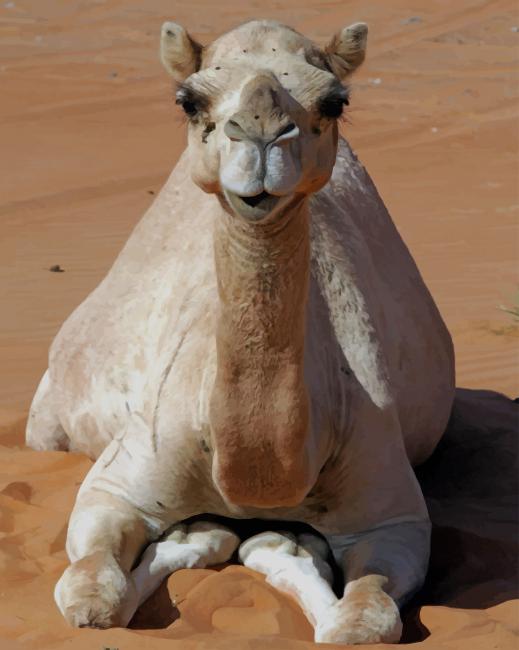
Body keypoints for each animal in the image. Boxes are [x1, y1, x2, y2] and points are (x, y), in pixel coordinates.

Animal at [26, 19, 455, 644]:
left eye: (335, 101)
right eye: (188, 100)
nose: (261, 136)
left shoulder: (392, 512)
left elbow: (362, 622)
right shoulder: (118, 481)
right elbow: (92, 598)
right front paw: (192, 535)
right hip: (46, 420)